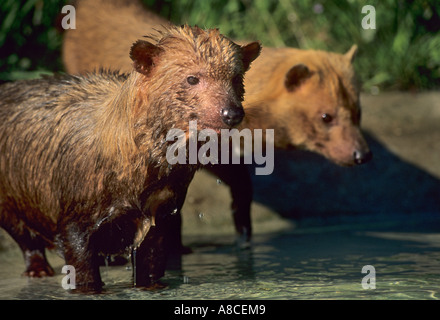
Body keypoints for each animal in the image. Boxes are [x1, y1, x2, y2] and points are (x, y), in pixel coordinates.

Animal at [0, 25, 262, 292]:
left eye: (236, 78)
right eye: (192, 78)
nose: (231, 113)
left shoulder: (161, 211)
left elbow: (151, 261)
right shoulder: (74, 214)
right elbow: (81, 266)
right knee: (26, 238)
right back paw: (38, 269)